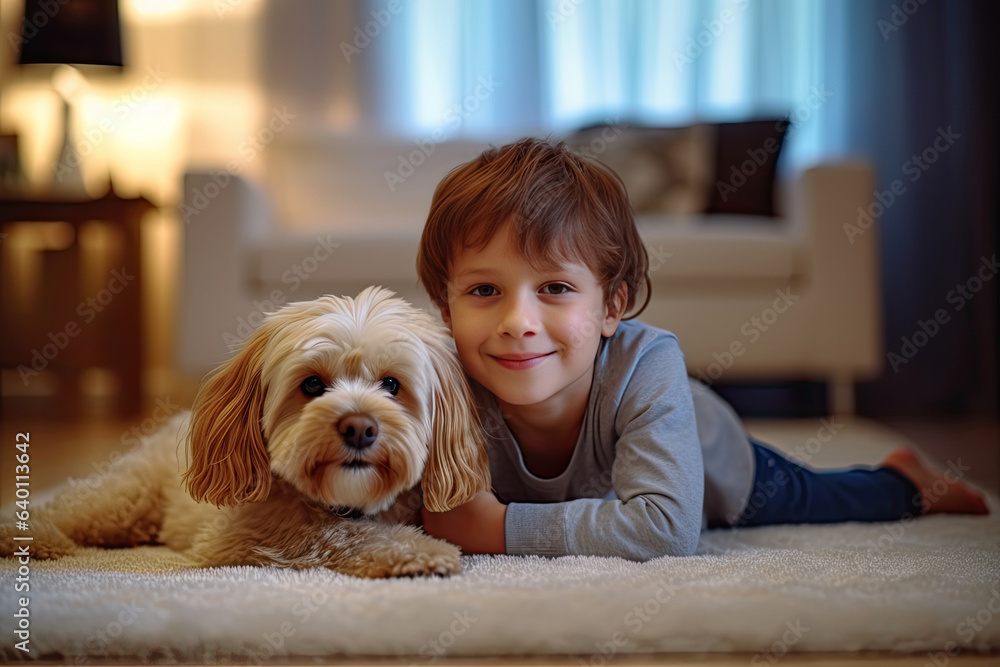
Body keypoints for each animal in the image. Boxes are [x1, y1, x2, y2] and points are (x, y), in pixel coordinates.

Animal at [0, 288, 492, 580]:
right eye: (312, 385)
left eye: (391, 384)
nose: (359, 427)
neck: (343, 501)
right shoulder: (240, 536)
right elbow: (331, 534)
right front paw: (417, 552)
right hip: (124, 501)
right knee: (67, 508)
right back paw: (31, 538)